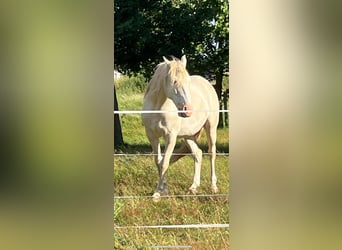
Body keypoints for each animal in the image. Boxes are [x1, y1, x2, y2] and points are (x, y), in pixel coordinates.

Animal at [142, 54, 219, 199]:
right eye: (174, 81)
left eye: (188, 82)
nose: (187, 110)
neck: (157, 108)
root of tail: (207, 84)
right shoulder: (152, 136)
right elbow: (158, 161)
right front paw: (163, 190)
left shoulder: (170, 136)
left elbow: (165, 162)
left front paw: (157, 193)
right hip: (188, 135)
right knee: (198, 154)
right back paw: (193, 188)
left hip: (211, 127)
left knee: (211, 153)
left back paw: (213, 187)